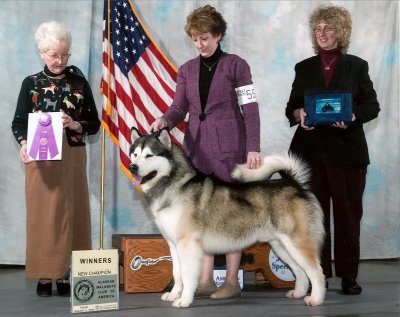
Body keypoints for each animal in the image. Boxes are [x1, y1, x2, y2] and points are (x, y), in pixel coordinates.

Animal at [130, 127, 326, 308]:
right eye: (135, 154)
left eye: (149, 155)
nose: (132, 167)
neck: (173, 184)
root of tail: (294, 184)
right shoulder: (173, 244)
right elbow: (176, 273)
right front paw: (174, 295)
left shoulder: (187, 244)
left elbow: (186, 275)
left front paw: (184, 300)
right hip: (281, 246)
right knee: (300, 271)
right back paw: (298, 293)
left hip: (297, 242)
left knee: (317, 272)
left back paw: (315, 299)